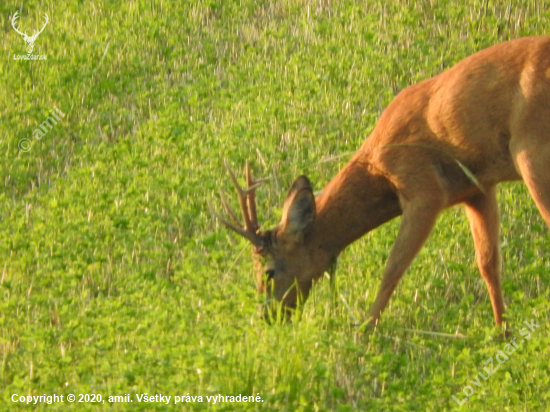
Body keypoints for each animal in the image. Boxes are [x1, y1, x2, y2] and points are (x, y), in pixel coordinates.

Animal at [211, 37, 550, 328]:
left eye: (268, 272)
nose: (269, 317)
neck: (376, 166)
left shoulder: (424, 189)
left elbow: (392, 269)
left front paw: (364, 334)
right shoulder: (477, 189)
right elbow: (488, 263)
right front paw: (501, 332)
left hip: (532, 150)